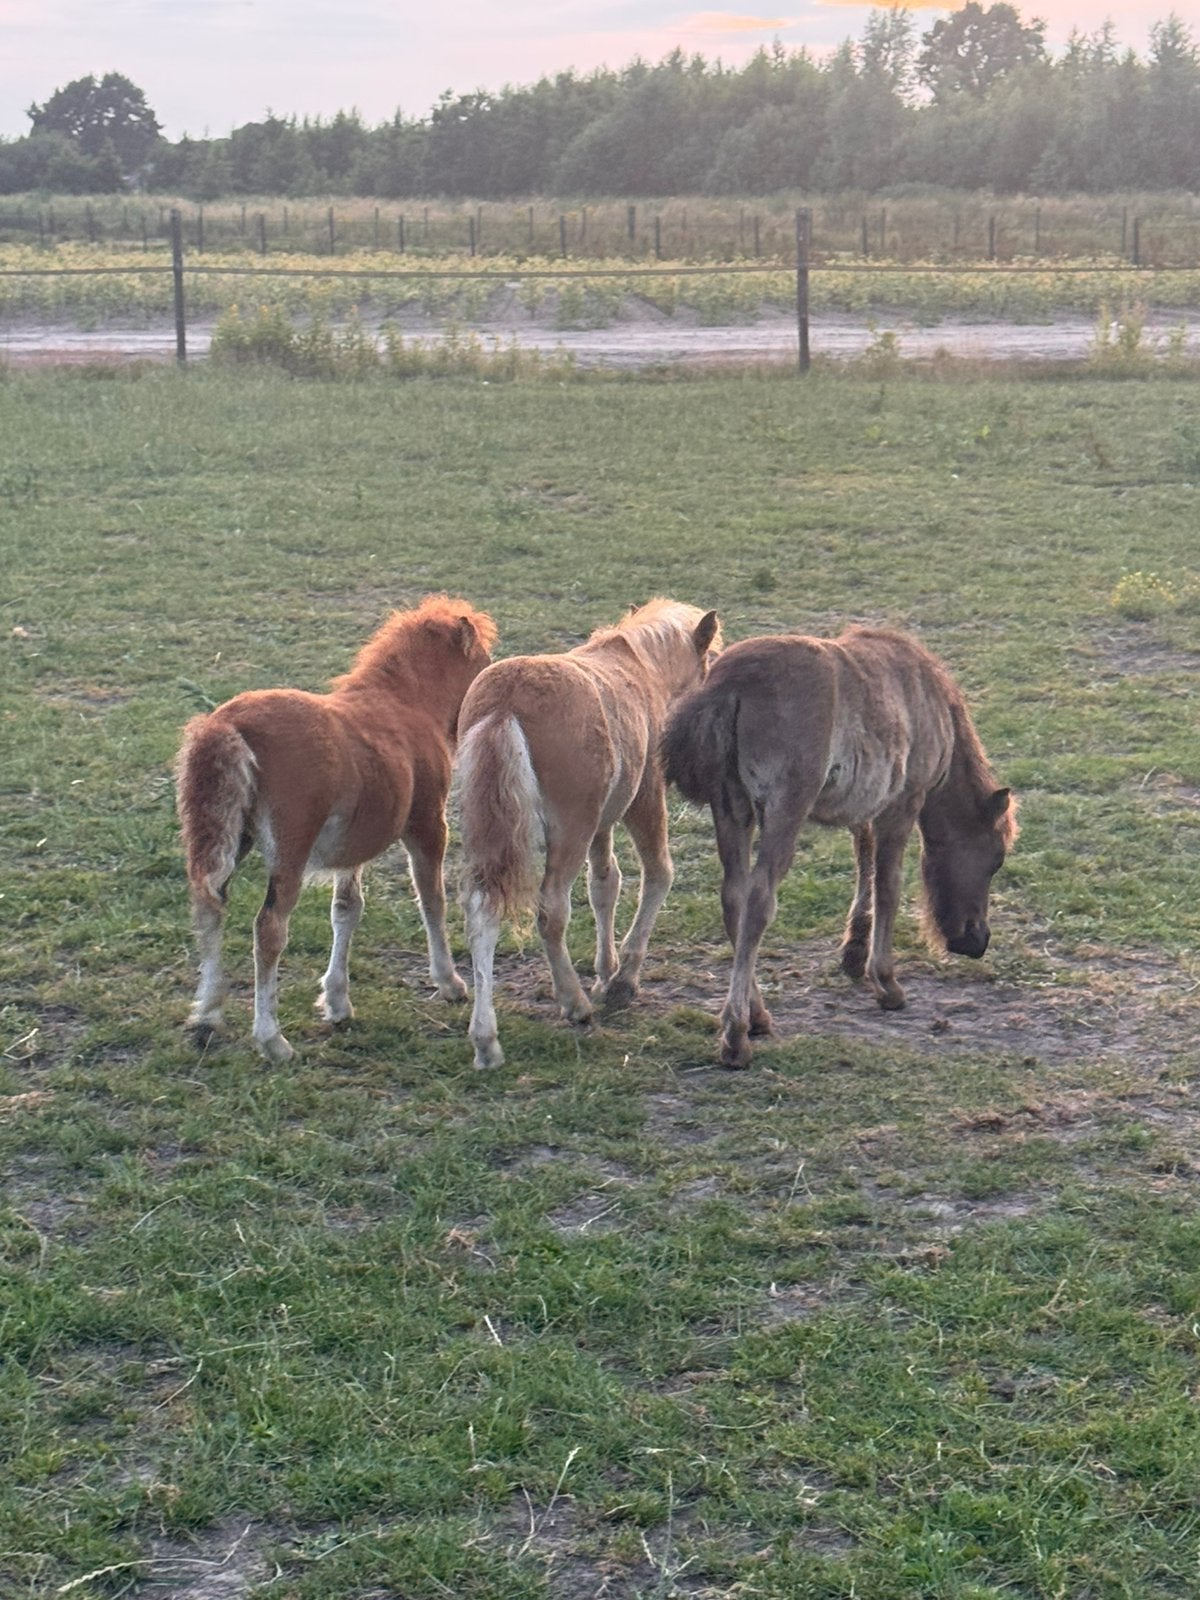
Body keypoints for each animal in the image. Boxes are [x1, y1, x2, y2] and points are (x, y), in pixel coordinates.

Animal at [175, 595, 498, 1062]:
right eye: (485, 661)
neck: (405, 703)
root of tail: (227, 725)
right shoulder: (427, 826)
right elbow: (432, 901)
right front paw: (450, 982)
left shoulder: (352, 845)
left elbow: (346, 909)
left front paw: (337, 1001)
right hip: (289, 849)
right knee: (268, 929)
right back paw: (272, 1040)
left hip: (227, 838)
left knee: (208, 905)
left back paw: (207, 1016)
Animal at [456, 598, 721, 1069]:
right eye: (710, 661)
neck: (640, 669)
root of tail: (506, 702)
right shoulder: (642, 801)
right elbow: (659, 873)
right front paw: (623, 980)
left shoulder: (602, 824)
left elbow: (605, 885)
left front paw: (605, 970)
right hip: (569, 831)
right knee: (551, 911)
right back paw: (573, 1003)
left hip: (488, 829)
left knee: (481, 909)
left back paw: (486, 1041)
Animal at [662, 626, 1018, 1068]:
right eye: (996, 858)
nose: (976, 940)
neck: (929, 698)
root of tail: (728, 685)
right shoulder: (903, 803)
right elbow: (888, 885)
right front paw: (885, 981)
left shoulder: (866, 802)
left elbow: (864, 859)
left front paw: (854, 951)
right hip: (785, 809)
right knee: (758, 900)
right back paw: (735, 1034)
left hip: (731, 807)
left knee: (733, 897)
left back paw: (757, 1014)